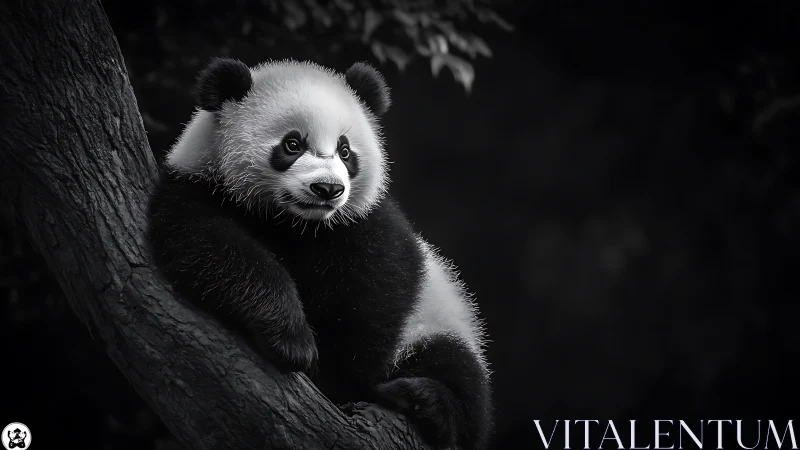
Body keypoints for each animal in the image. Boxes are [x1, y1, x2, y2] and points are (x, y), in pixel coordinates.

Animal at [146, 57, 492, 450]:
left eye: (345, 151)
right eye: (293, 144)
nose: (327, 188)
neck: (295, 222)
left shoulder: (362, 224)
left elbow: (374, 299)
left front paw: (335, 383)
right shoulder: (197, 187)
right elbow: (209, 247)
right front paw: (292, 339)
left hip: (438, 321)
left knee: (459, 372)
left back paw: (423, 400)